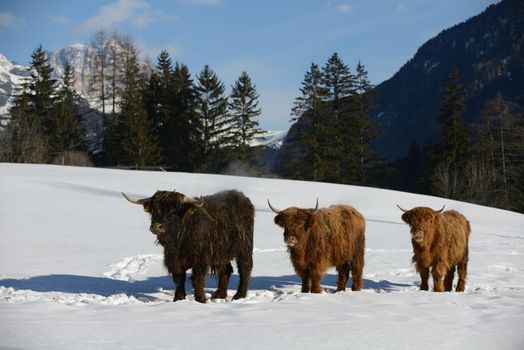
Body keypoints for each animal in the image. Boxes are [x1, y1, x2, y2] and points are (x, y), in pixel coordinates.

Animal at [123, 190, 254, 302]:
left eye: (173, 211)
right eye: (154, 210)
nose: (156, 226)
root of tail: (244, 198)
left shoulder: (201, 260)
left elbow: (197, 280)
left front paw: (201, 300)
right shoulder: (174, 261)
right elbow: (179, 279)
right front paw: (178, 299)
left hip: (244, 247)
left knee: (245, 268)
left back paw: (239, 295)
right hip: (220, 253)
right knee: (226, 270)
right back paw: (219, 295)